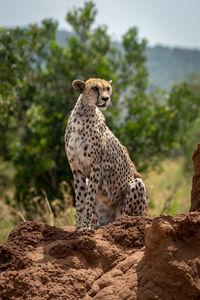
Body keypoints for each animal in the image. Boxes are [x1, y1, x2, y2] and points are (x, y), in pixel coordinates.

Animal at [65, 78, 147, 229]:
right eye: (95, 88)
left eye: (108, 88)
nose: (106, 99)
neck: (83, 113)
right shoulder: (76, 169)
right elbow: (80, 200)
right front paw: (78, 227)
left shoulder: (96, 166)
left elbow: (89, 199)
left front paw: (85, 226)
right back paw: (97, 226)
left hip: (135, 187)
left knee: (127, 217)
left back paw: (120, 222)